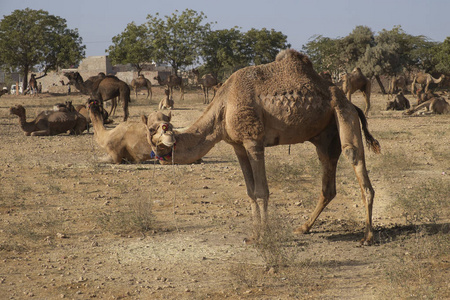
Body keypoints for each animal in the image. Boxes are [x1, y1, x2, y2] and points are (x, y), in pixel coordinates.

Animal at [143, 49, 380, 245]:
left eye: (153, 131)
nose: (154, 153)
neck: (223, 106)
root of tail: (351, 104)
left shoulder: (253, 141)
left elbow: (261, 191)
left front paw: (263, 236)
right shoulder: (237, 146)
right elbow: (249, 192)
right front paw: (253, 234)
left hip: (344, 114)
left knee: (356, 160)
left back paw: (367, 236)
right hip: (325, 136)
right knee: (328, 180)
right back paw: (304, 227)